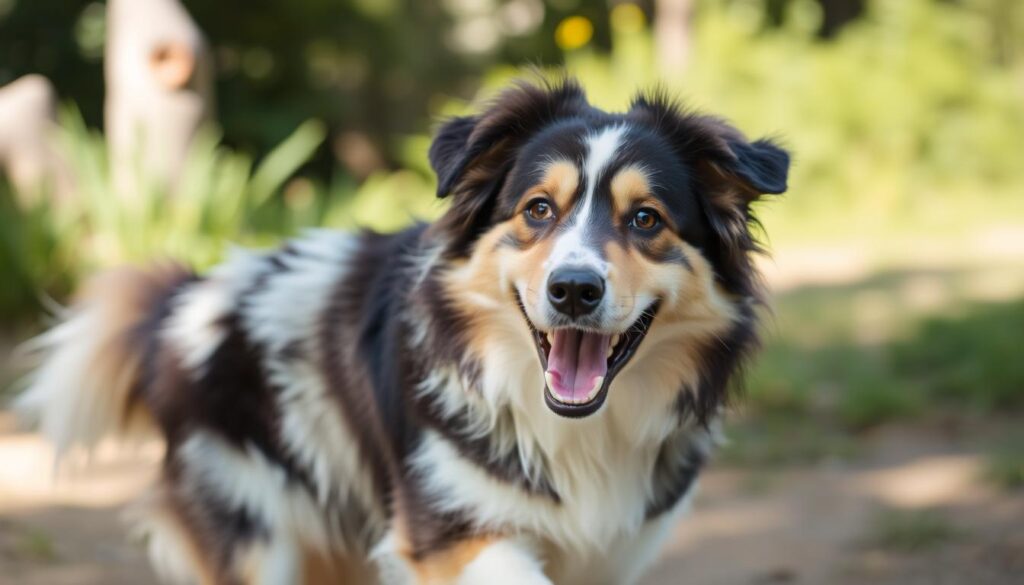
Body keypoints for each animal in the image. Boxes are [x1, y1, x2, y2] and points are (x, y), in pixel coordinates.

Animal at [18, 78, 790, 585]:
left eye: (646, 219)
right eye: (538, 209)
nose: (573, 289)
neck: (575, 432)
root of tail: (183, 302)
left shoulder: (611, 553)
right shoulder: (446, 533)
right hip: (252, 523)